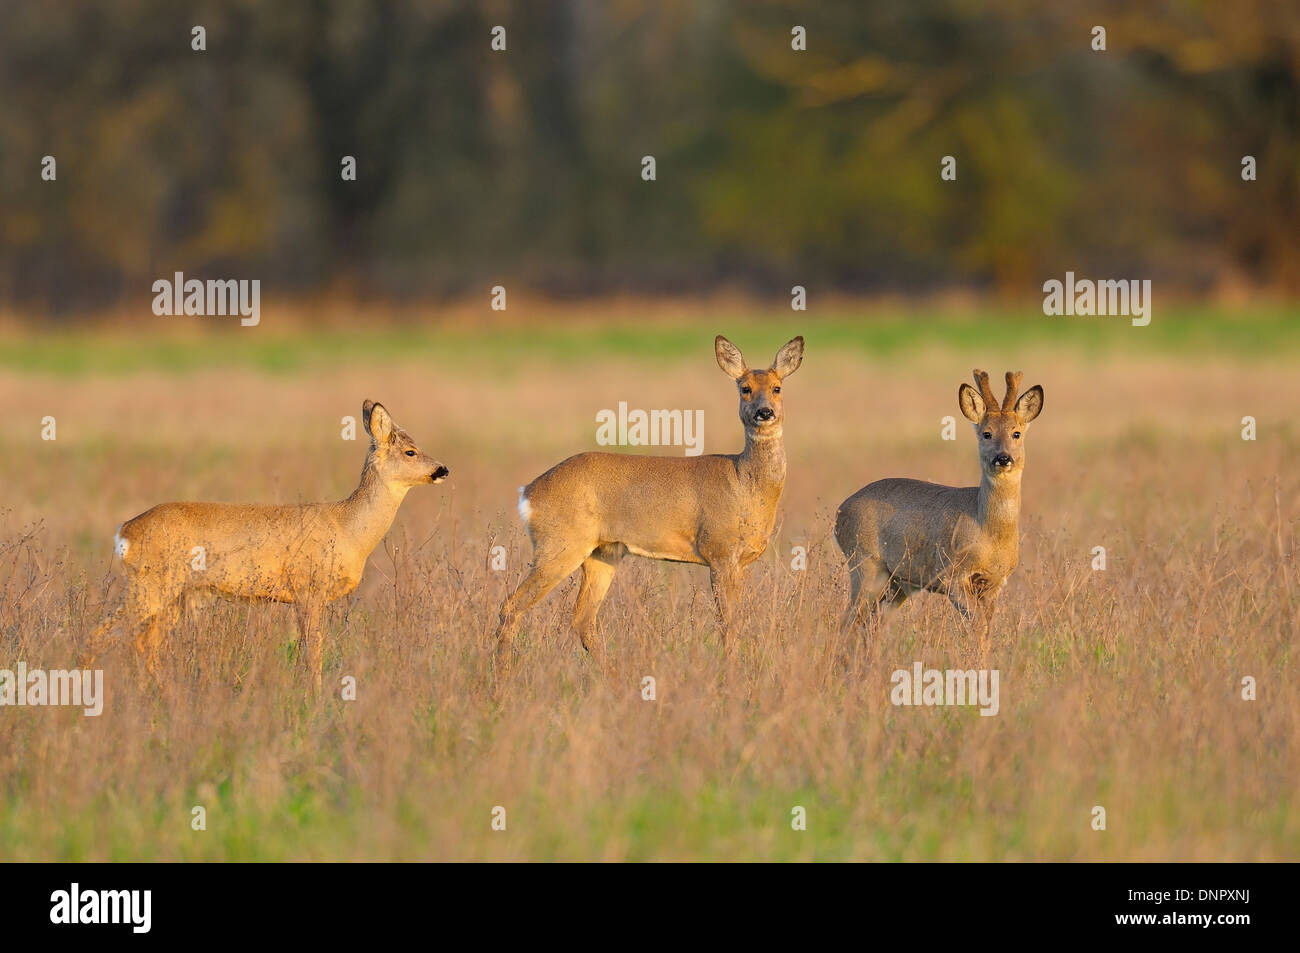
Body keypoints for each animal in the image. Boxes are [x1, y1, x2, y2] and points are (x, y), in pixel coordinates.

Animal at [88, 400, 448, 691]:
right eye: (410, 451)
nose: (443, 469)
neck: (348, 528)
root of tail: (124, 531)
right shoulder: (308, 589)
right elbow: (313, 653)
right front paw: (314, 698)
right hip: (150, 584)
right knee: (101, 634)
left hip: (175, 595)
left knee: (144, 644)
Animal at [494, 334, 805, 671]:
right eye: (745, 387)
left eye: (777, 387)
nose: (764, 412)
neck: (745, 482)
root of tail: (528, 492)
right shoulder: (719, 551)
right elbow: (728, 623)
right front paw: (731, 671)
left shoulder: (739, 562)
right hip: (559, 544)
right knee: (511, 607)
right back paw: (502, 679)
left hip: (602, 554)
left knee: (582, 619)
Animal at [834, 370, 1043, 653]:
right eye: (986, 433)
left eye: (1017, 433)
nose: (1002, 458)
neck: (988, 532)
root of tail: (840, 512)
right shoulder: (951, 575)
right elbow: (978, 628)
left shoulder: (995, 583)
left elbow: (987, 631)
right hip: (864, 562)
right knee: (848, 621)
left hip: (897, 583)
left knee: (872, 625)